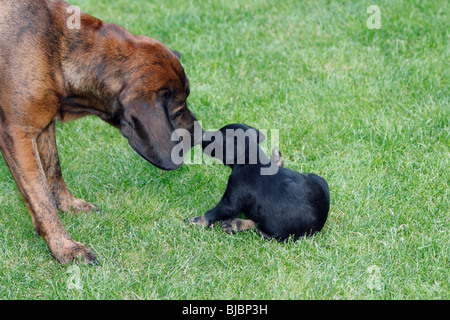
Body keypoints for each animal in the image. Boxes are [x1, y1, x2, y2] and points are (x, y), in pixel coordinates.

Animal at [0, 0, 200, 264]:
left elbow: (52, 171)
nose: (200, 131)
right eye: (177, 112)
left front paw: (67, 205)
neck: (57, 47)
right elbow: (40, 196)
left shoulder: (42, 124)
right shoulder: (18, 133)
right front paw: (64, 246)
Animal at [187, 124, 330, 239]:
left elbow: (214, 211)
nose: (200, 135)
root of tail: (320, 224)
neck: (250, 159)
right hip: (318, 179)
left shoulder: (232, 195)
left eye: (215, 138)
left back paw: (234, 224)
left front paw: (197, 221)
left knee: (258, 228)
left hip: (277, 231)